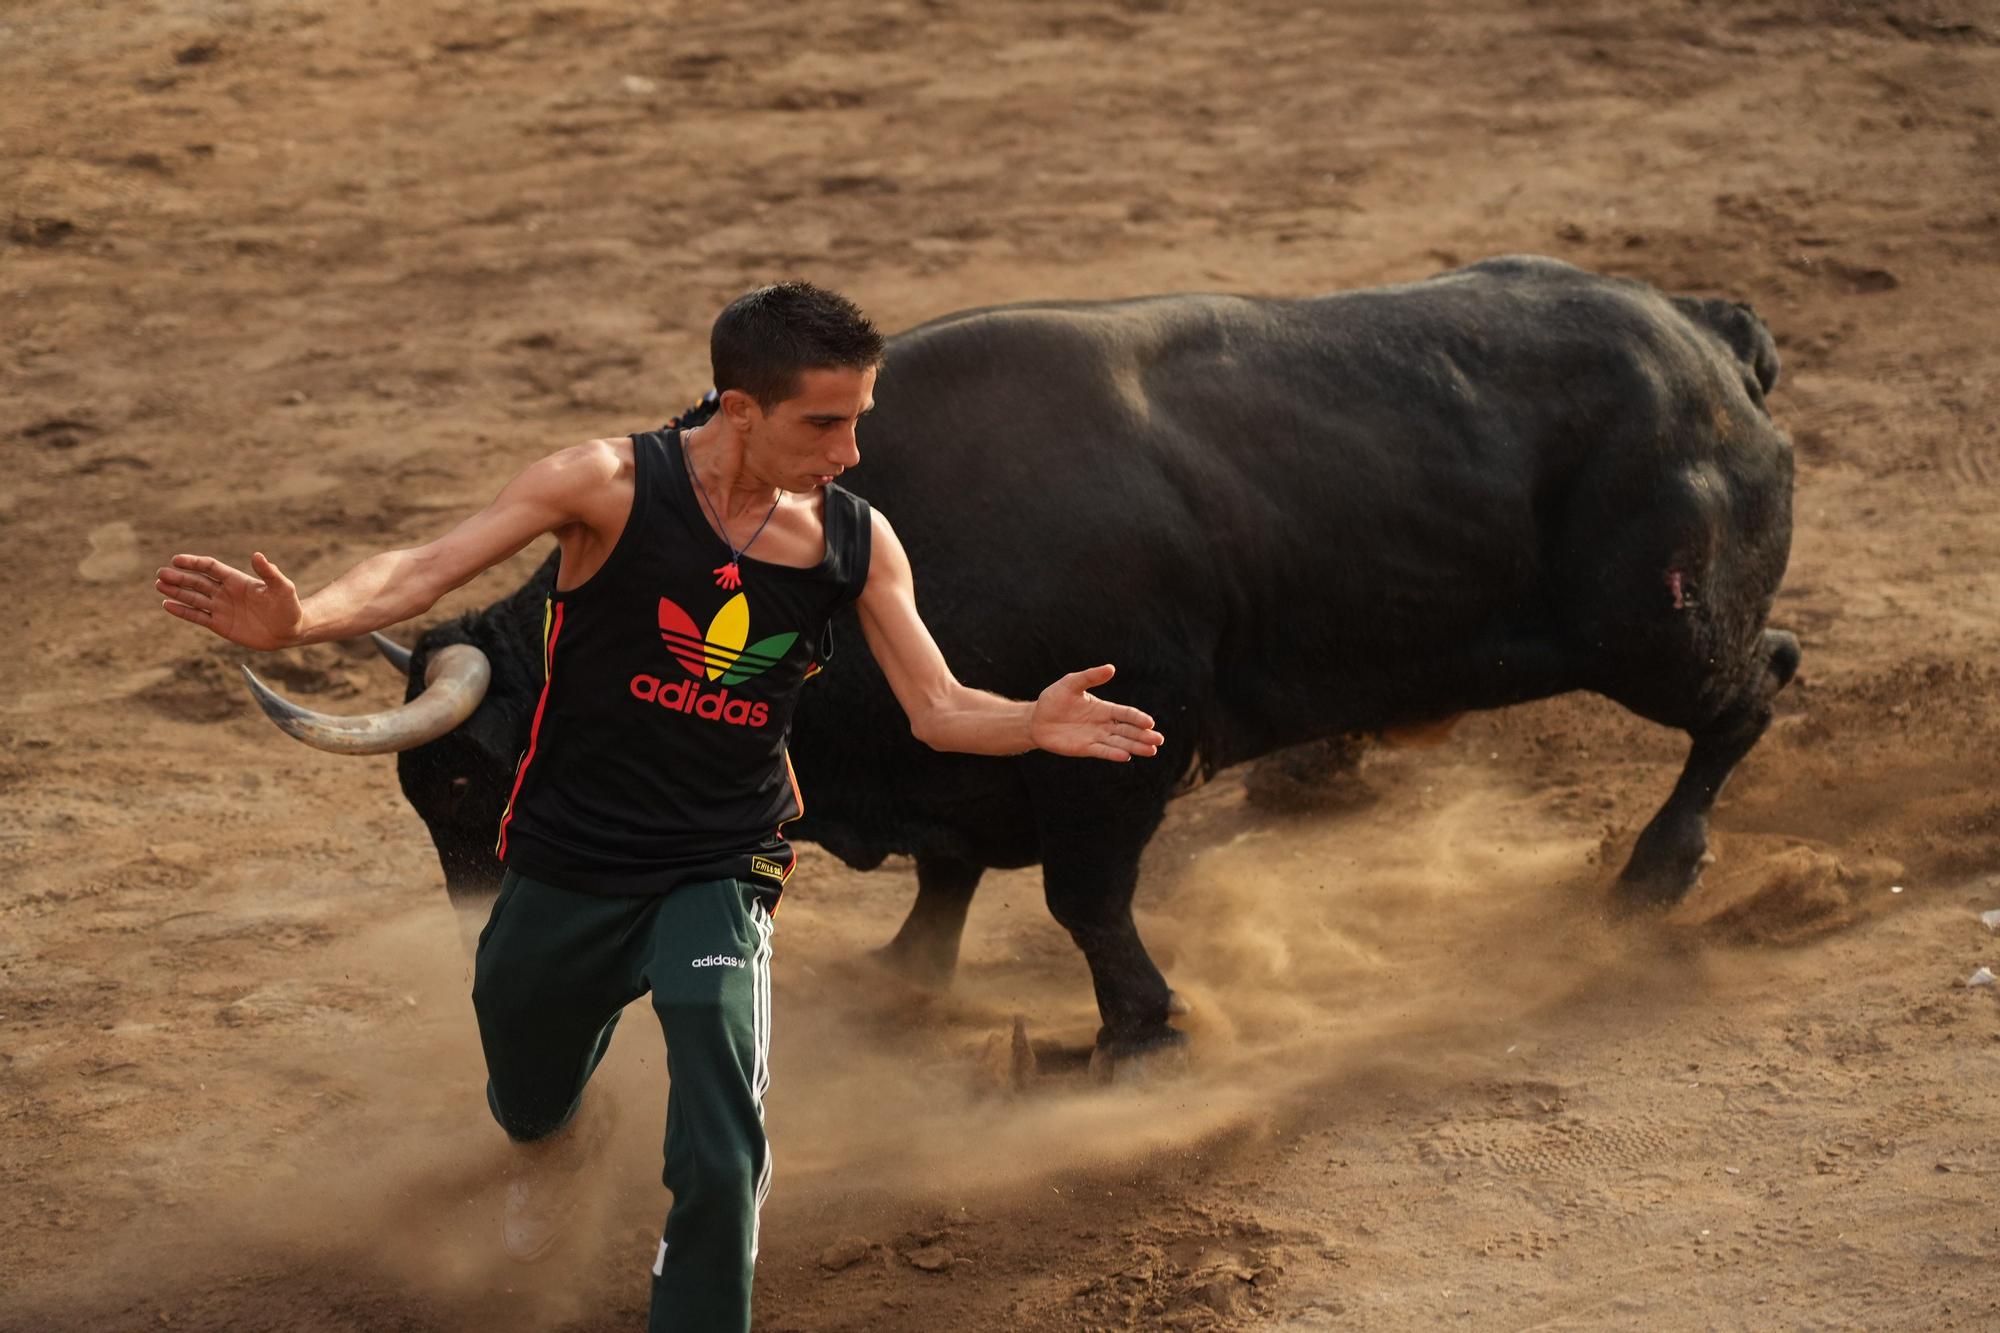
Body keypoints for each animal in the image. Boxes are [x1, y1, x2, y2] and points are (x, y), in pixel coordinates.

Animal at [368, 256, 1808, 1048]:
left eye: (466, 782)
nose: (489, 967)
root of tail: (1702, 333)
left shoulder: (1113, 766)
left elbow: (1084, 904)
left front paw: (1139, 1034)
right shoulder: (955, 756)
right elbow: (949, 872)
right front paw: (902, 978)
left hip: (1655, 629)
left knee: (1745, 699)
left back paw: (1654, 876)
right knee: (1767, 676)